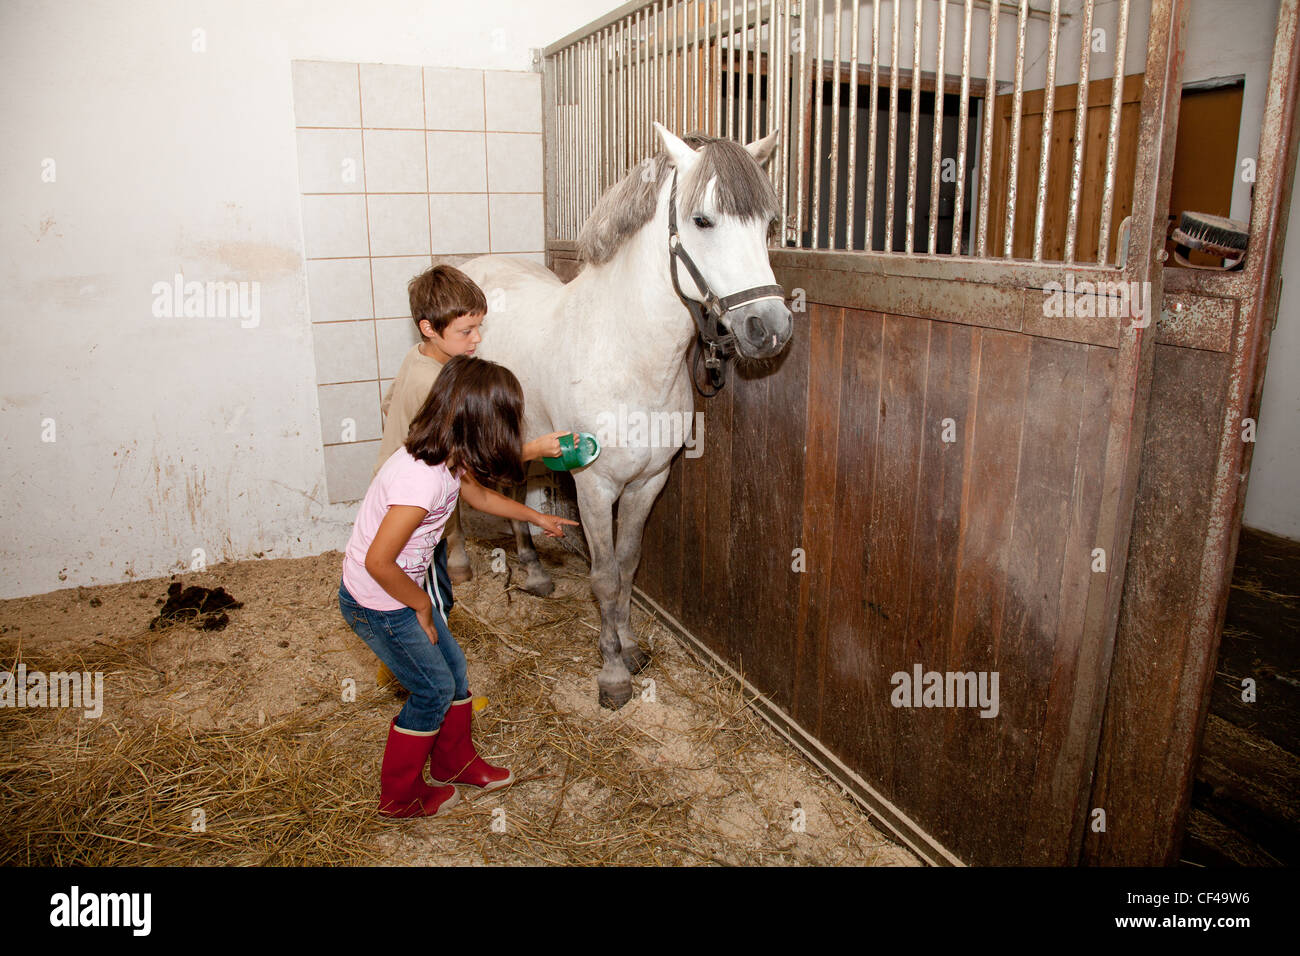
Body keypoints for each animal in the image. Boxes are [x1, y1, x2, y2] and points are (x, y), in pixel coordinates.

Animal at [452, 125, 790, 712]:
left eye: (768, 223)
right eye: (703, 220)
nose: (770, 328)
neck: (628, 357)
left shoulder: (649, 481)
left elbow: (629, 566)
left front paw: (630, 648)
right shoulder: (595, 486)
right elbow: (604, 577)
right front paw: (612, 673)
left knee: (514, 490)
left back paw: (533, 571)